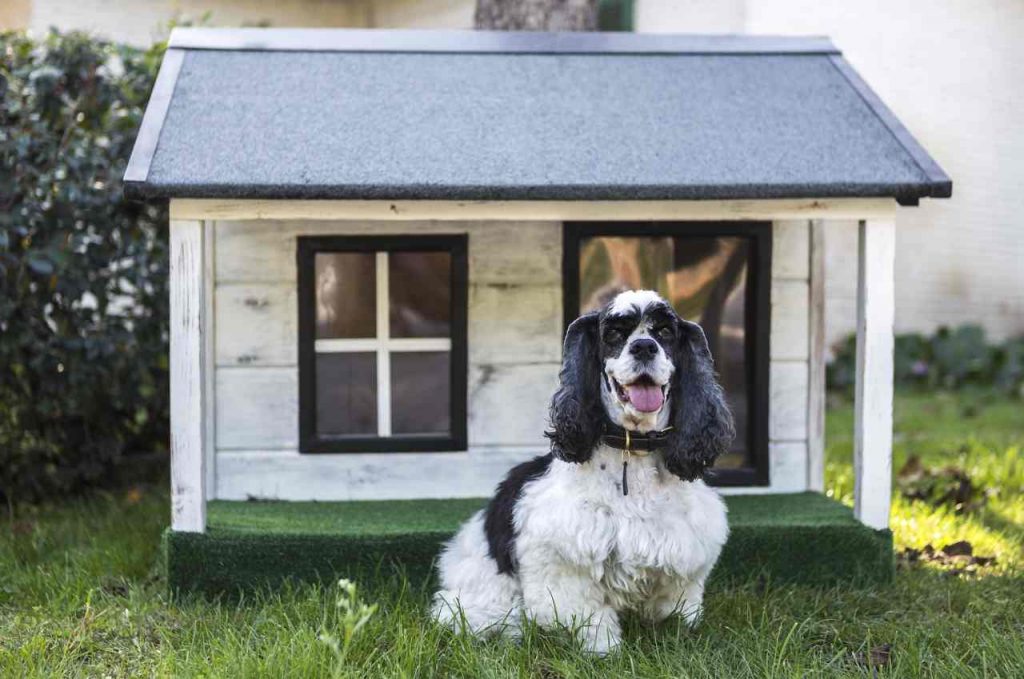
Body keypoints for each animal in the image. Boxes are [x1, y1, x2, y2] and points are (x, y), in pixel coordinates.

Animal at [434, 288, 737, 655]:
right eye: (614, 334)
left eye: (665, 332)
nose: (644, 347)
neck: (632, 448)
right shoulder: (563, 559)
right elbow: (589, 616)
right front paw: (604, 651)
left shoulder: (684, 556)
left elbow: (676, 607)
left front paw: (677, 637)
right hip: (482, 592)